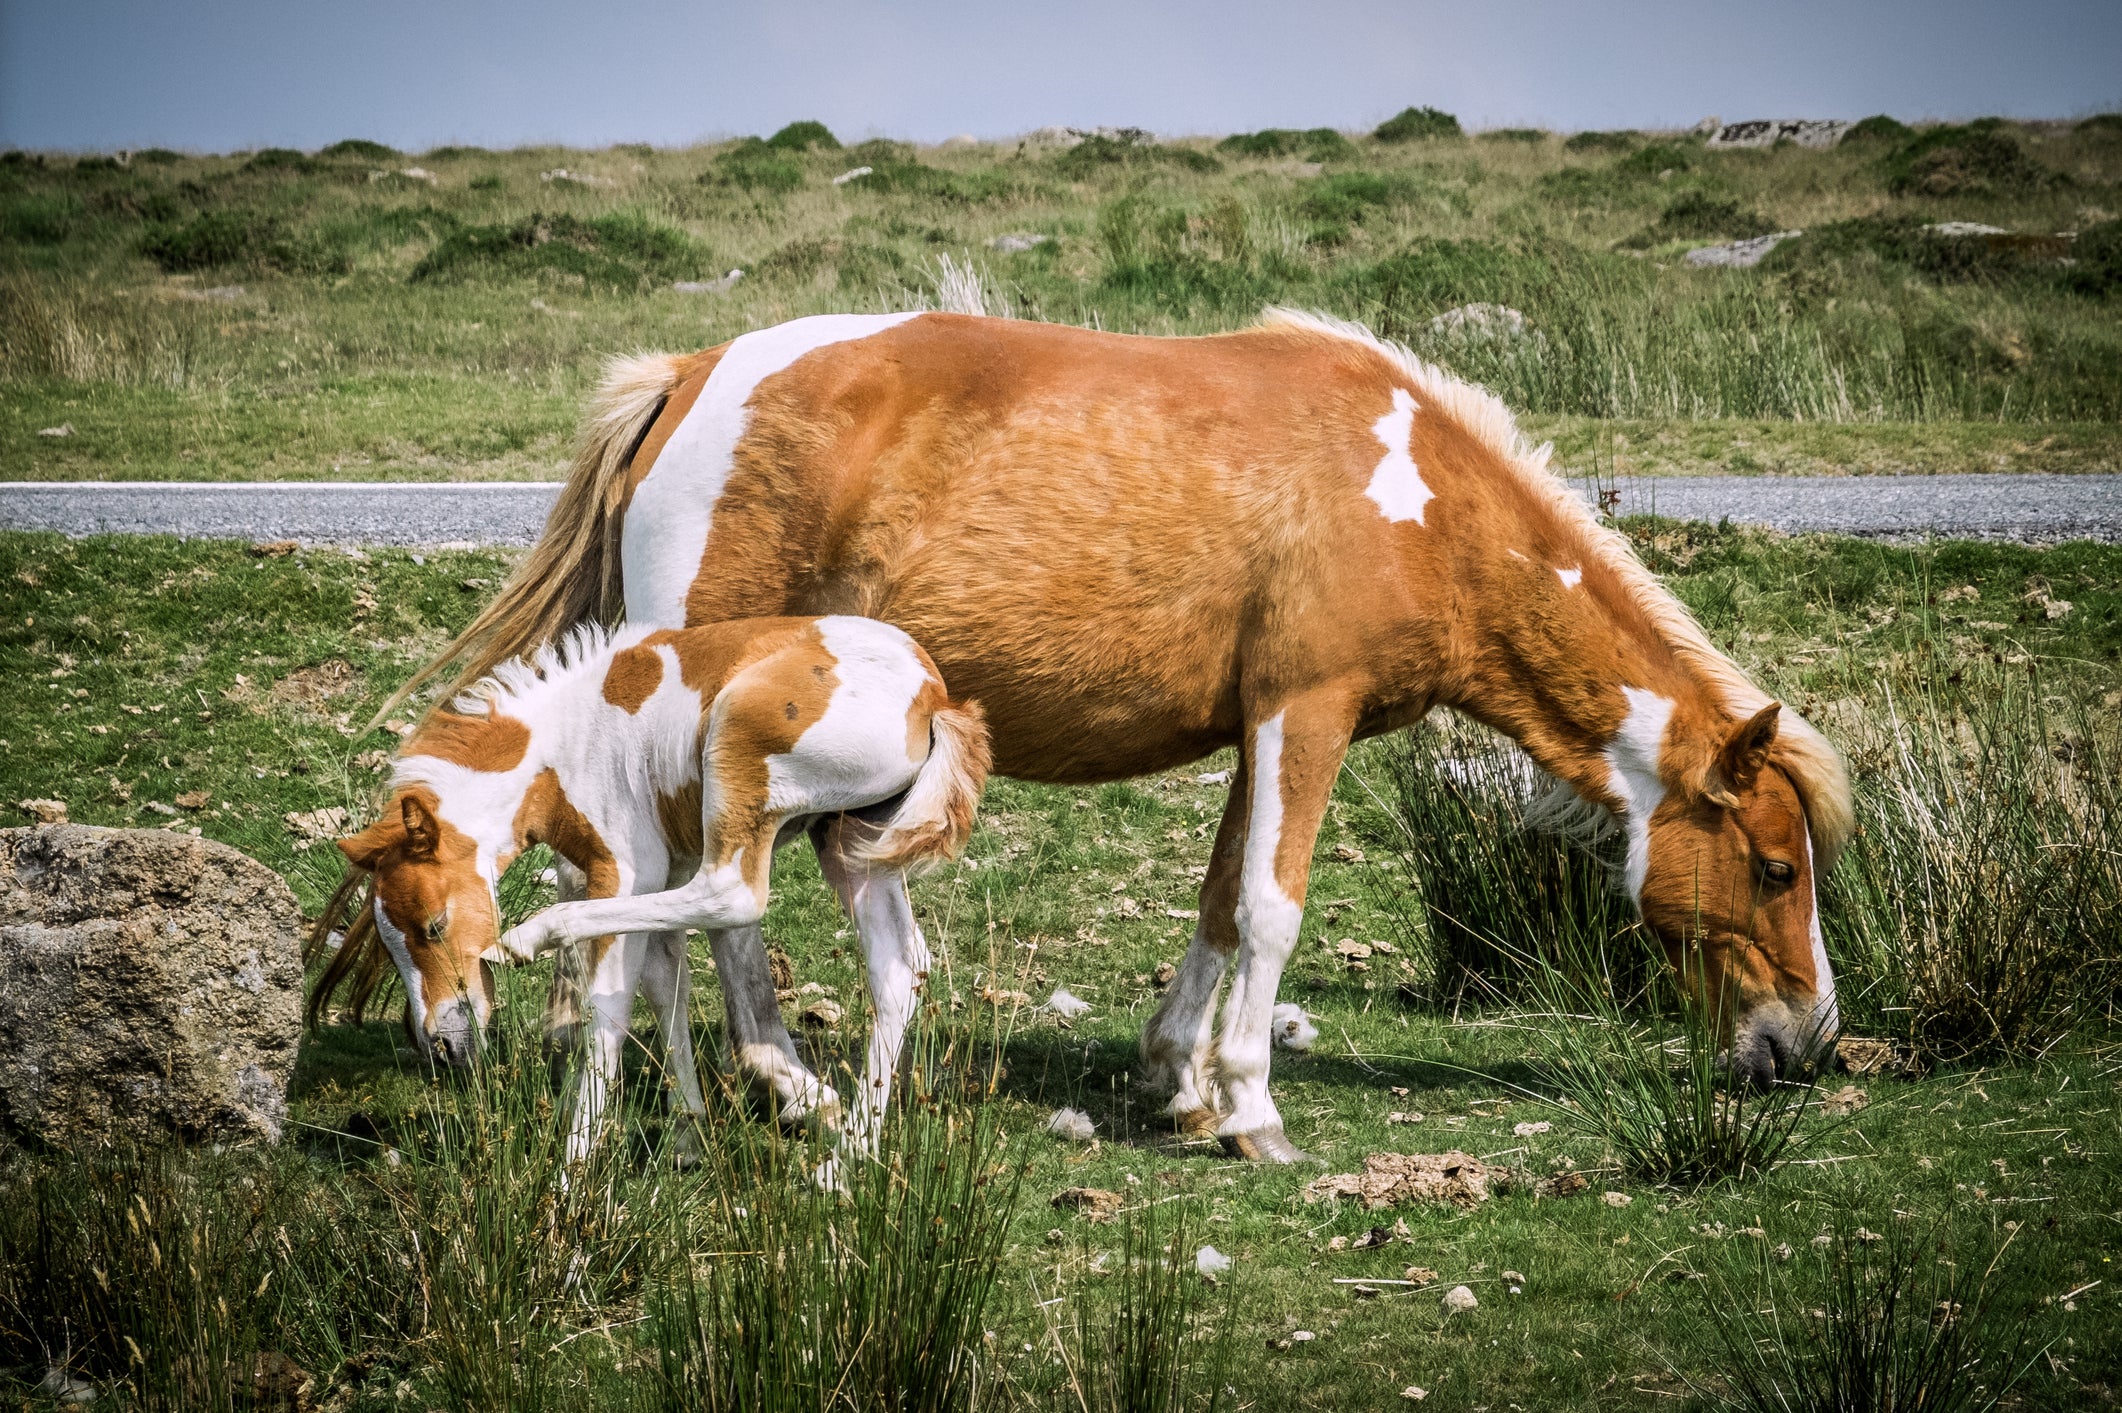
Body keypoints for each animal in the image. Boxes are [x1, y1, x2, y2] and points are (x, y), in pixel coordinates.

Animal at [310, 615, 989, 1160]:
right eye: (391, 944)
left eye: (434, 925)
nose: (440, 1045)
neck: (567, 748)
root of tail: (934, 696)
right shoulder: (669, 875)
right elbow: (669, 991)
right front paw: (688, 1135)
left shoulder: (629, 870)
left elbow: (608, 1008)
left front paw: (571, 1175)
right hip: (852, 841)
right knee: (900, 964)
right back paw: (846, 1155)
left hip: (740, 753)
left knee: (733, 894)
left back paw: (530, 936)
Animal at [389, 307, 1854, 1163]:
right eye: (1776, 867)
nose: (1807, 1044)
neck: (1411, 498)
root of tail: (690, 379)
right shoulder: (1306, 712)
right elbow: (1271, 907)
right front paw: (1249, 1106)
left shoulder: (1259, 724)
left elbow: (1217, 900)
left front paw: (1178, 1076)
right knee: (717, 909)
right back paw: (788, 1085)